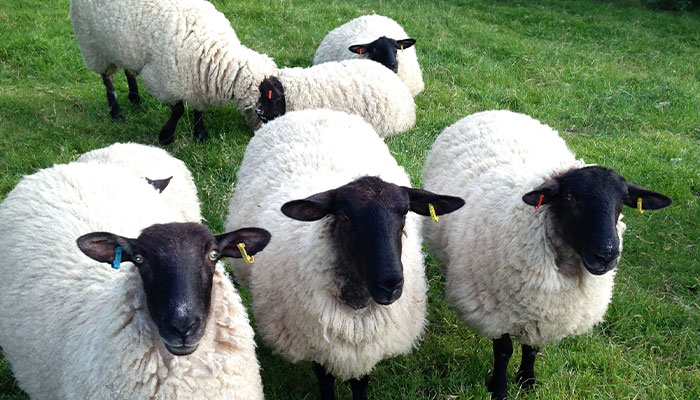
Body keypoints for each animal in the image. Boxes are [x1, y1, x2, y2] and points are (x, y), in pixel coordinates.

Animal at [70, 0, 277, 144]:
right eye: (276, 100)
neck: (214, 53)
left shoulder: (196, 80)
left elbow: (198, 109)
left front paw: (200, 134)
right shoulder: (163, 81)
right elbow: (178, 110)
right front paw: (166, 136)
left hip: (124, 48)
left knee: (128, 70)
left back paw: (135, 98)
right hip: (93, 45)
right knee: (107, 78)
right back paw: (116, 111)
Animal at [225, 109, 464, 400]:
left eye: (405, 213)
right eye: (344, 217)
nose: (390, 284)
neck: (358, 304)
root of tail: (310, 110)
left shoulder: (364, 348)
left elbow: (360, 384)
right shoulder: (318, 343)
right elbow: (325, 381)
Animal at [422, 110, 672, 400]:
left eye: (622, 201)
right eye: (570, 197)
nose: (607, 254)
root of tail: (494, 111)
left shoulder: (543, 310)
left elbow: (531, 348)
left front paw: (526, 381)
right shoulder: (493, 309)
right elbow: (504, 351)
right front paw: (499, 388)